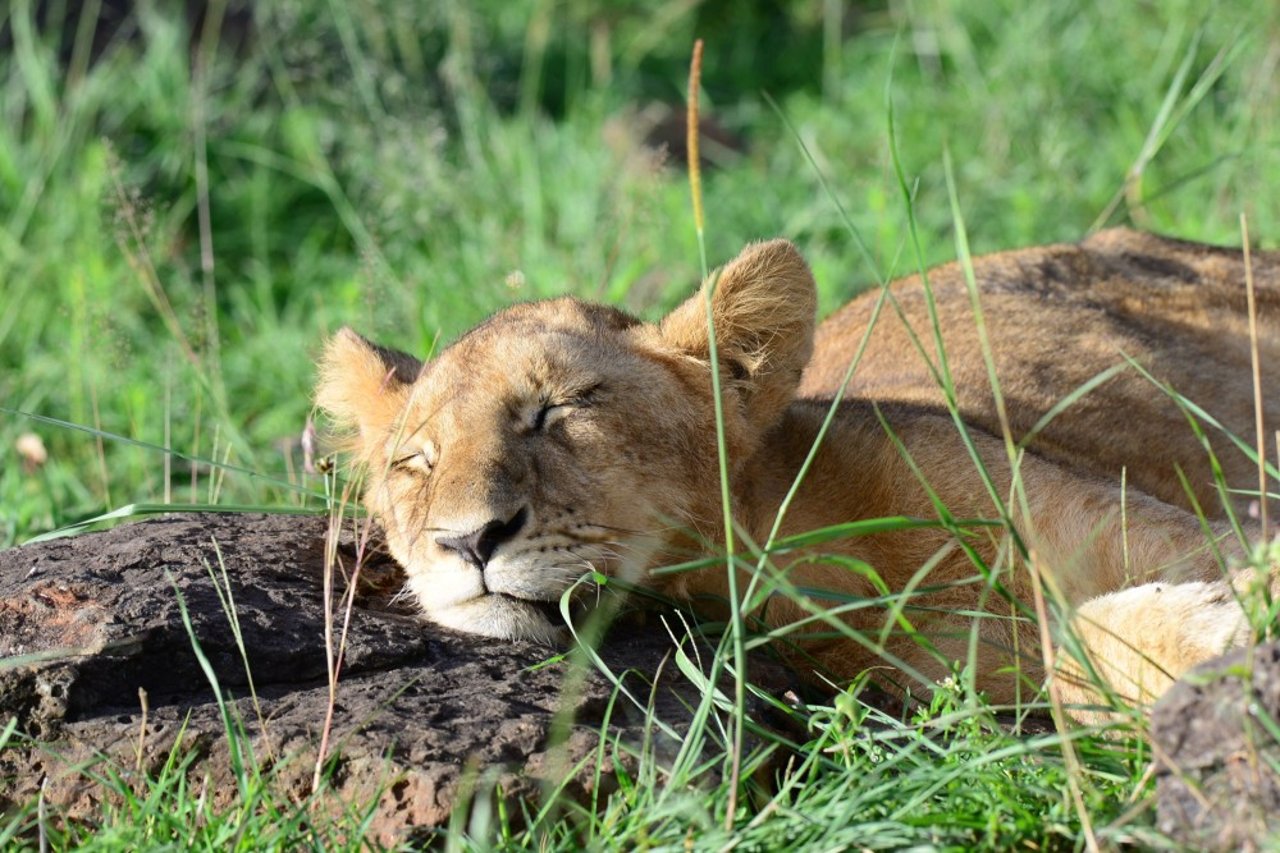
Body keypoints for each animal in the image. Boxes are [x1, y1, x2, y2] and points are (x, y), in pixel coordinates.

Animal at [314, 227, 1274, 717]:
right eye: (415, 462)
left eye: (562, 406)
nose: (466, 540)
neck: (801, 547)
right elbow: (1079, 659)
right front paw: (1218, 625)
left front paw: (1220, 619)